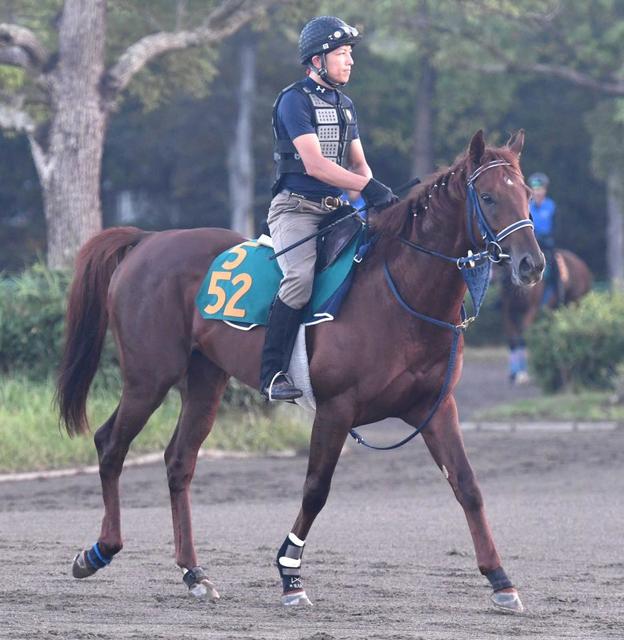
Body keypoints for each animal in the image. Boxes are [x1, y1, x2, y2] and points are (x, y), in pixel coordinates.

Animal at [57, 129, 543, 613]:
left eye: (526, 195)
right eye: (488, 197)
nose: (531, 264)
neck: (399, 292)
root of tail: (147, 241)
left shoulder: (435, 408)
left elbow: (467, 485)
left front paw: (500, 579)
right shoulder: (335, 409)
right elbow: (316, 489)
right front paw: (290, 574)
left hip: (205, 381)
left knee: (179, 462)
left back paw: (194, 574)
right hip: (149, 378)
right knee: (110, 444)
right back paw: (98, 551)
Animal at [500, 249, 592, 383]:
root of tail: (583, 266)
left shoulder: (531, 310)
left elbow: (522, 337)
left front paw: (522, 374)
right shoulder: (508, 312)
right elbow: (512, 339)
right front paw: (514, 373)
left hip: (575, 303)